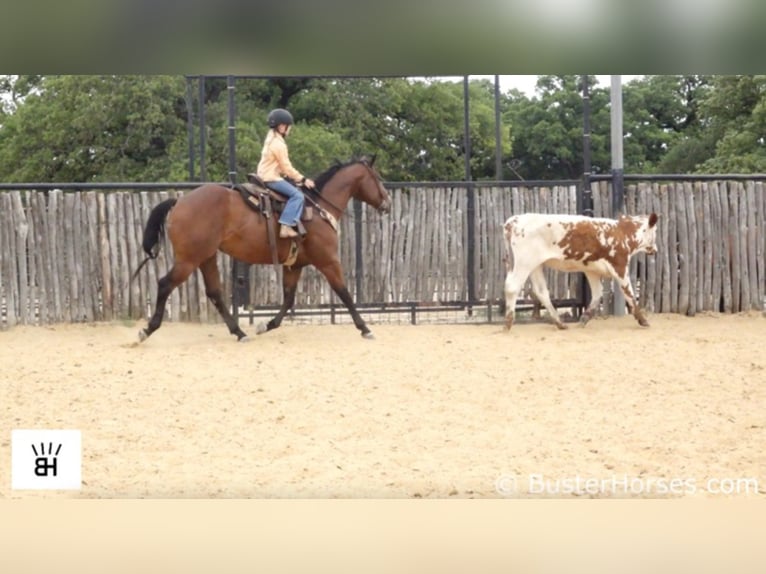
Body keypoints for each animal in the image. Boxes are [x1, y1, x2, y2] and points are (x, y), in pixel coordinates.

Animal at [133, 156, 392, 342]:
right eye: (377, 177)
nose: (387, 203)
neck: (317, 209)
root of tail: (180, 201)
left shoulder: (294, 266)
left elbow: (288, 300)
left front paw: (265, 325)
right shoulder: (328, 261)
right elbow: (344, 293)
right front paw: (365, 328)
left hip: (206, 257)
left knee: (214, 292)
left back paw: (239, 333)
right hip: (189, 260)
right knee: (165, 284)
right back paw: (147, 330)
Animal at [504, 213, 660, 330]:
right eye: (655, 231)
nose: (656, 250)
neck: (622, 233)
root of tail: (513, 221)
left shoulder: (592, 270)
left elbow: (597, 294)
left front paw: (585, 318)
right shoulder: (620, 267)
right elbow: (630, 294)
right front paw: (643, 320)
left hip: (535, 266)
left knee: (541, 292)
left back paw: (560, 323)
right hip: (524, 263)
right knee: (512, 287)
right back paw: (508, 323)